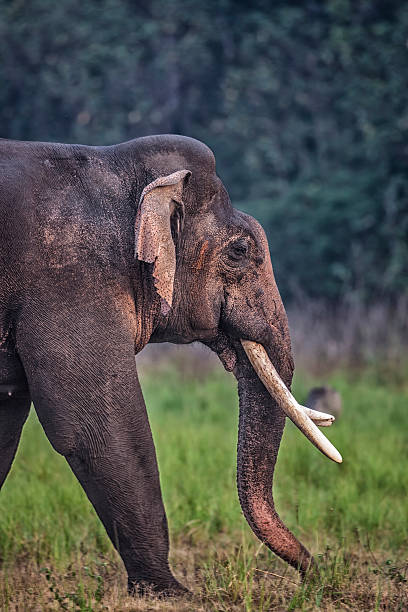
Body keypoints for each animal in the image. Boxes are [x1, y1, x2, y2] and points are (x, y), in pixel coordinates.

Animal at [0, 135, 342, 596]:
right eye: (240, 250)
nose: (313, 575)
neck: (115, 166)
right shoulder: (71, 284)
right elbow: (97, 429)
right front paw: (172, 594)